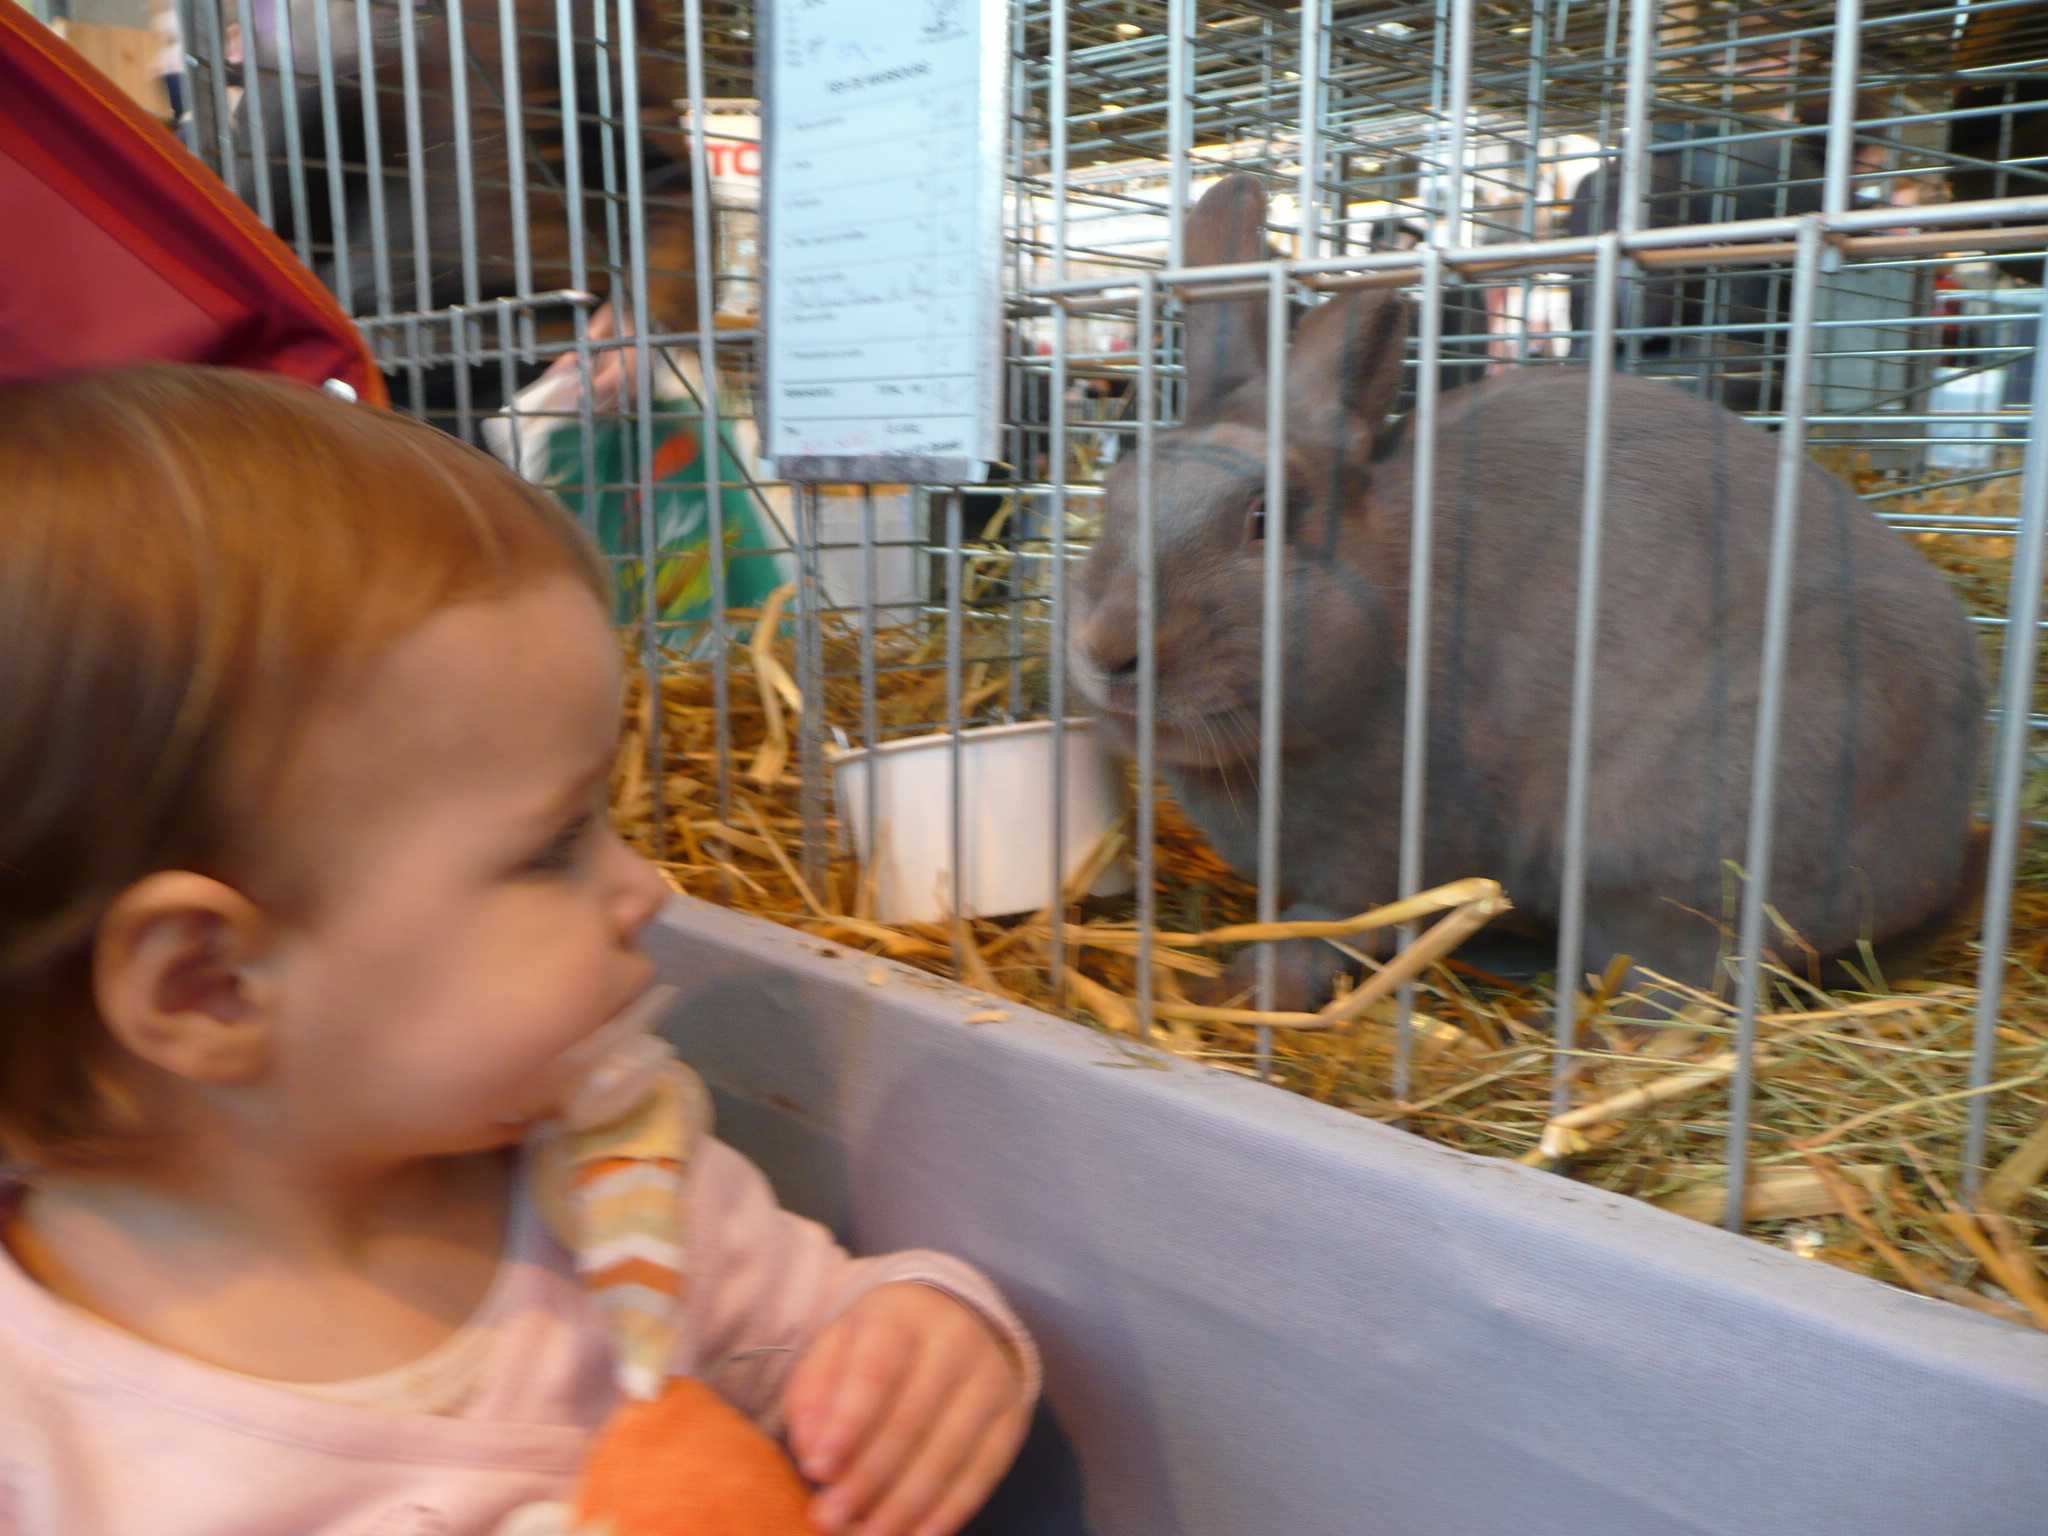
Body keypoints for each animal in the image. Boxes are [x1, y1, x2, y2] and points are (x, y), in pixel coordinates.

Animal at [1070, 172, 1987, 1015]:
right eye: (1115, 494)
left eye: (1263, 518)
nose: (1108, 650)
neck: (1390, 601)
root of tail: (1949, 840)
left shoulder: (1380, 846)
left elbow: (1327, 926)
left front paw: (1247, 989)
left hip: (1665, 838)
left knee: (1685, 982)